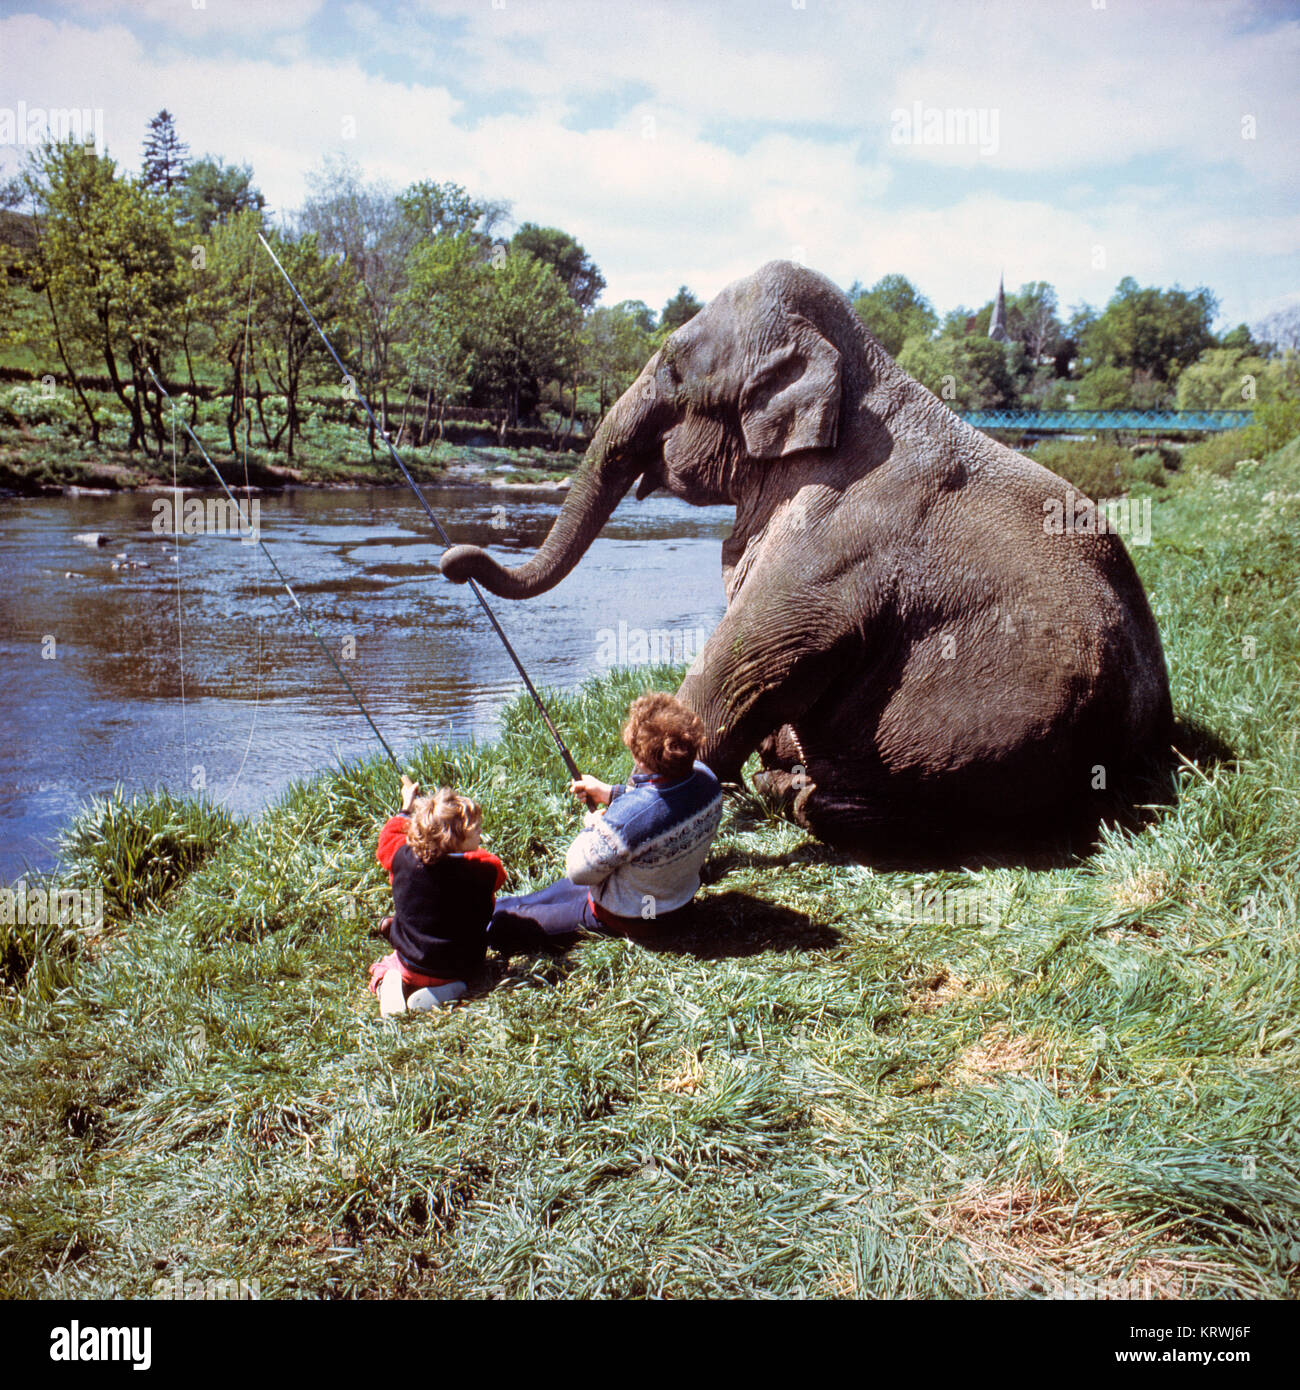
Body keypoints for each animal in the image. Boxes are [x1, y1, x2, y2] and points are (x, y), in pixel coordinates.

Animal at [441, 260, 1173, 854]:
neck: (858, 363)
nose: (452, 560)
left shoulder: (836, 538)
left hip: (973, 761)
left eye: (673, 368)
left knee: (838, 805)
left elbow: (745, 664)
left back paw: (787, 789)